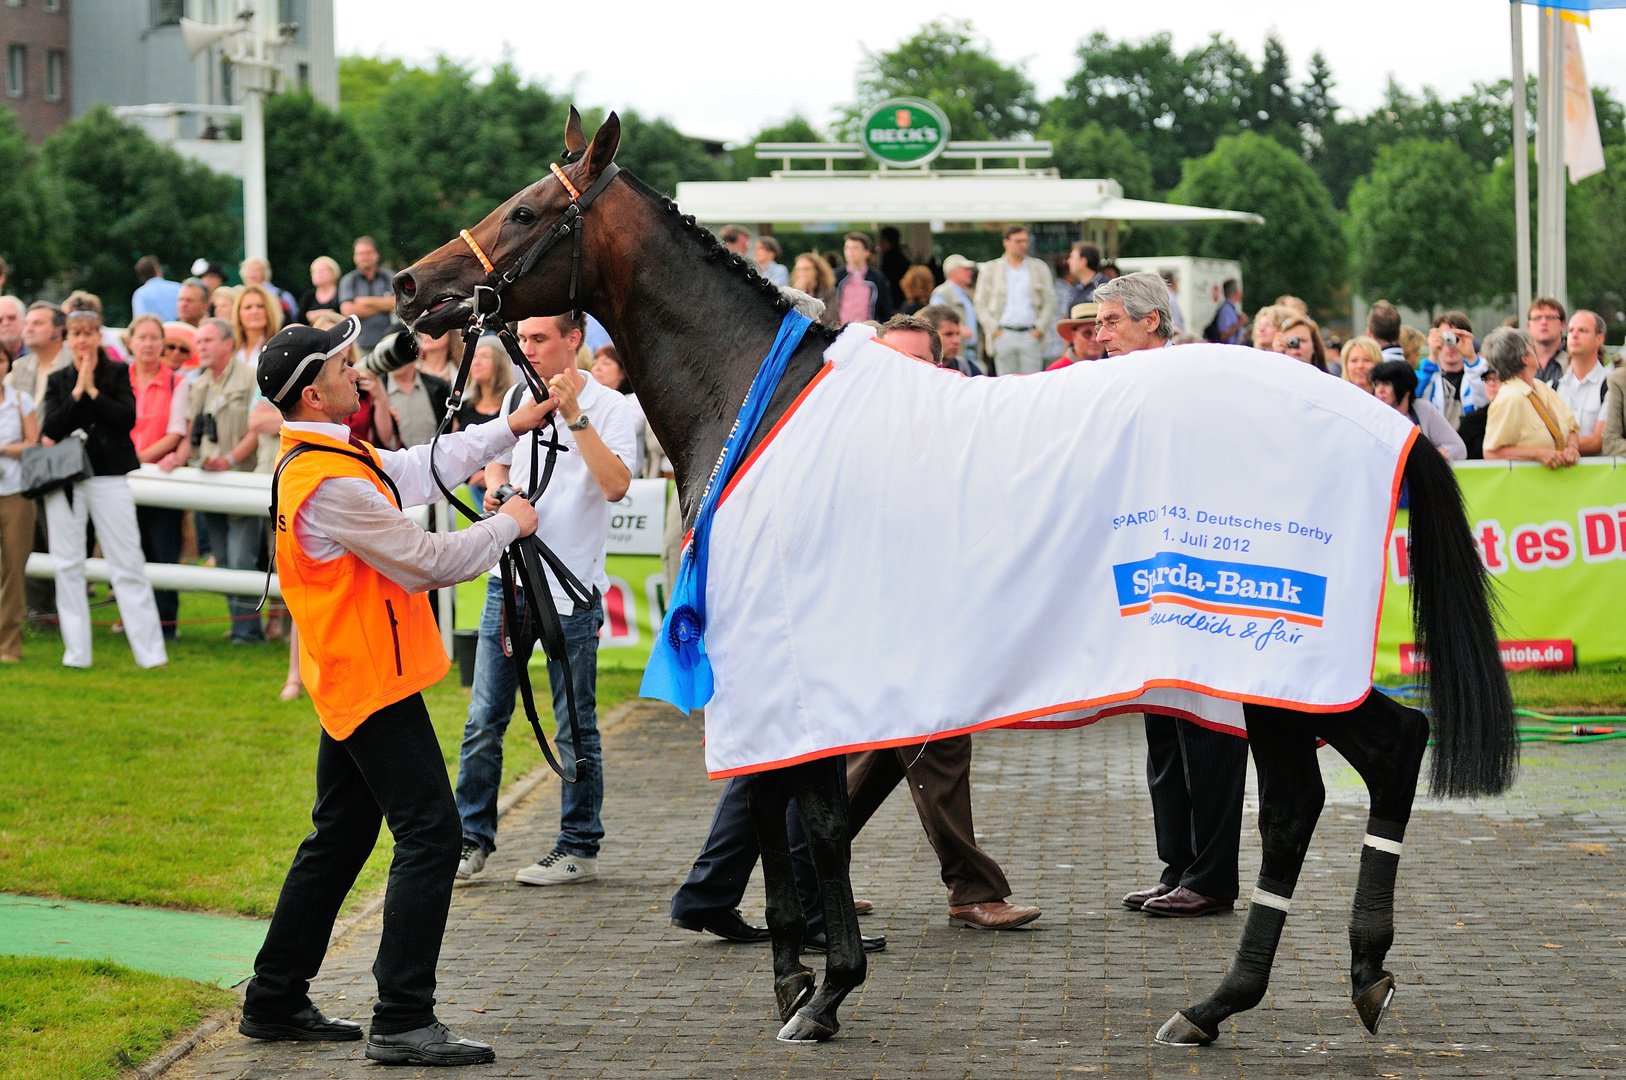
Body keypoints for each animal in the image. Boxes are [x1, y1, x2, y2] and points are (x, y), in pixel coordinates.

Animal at [393, 107, 1521, 1047]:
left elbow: (810, 819)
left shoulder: (795, 656)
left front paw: (824, 990)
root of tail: (1372, 415)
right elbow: (792, 807)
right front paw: (797, 974)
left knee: (1310, 796)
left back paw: (1224, 1001)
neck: (761, 399)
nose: (410, 288)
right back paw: (1333, 983)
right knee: (1375, 759)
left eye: (527, 208)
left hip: (1269, 654)